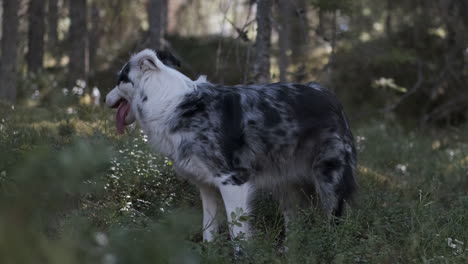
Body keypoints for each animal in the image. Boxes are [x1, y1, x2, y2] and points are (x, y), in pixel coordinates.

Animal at [105, 49, 354, 241]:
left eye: (119, 80)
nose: (106, 100)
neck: (169, 103)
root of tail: (328, 95)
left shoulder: (232, 182)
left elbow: (238, 238)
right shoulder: (206, 186)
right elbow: (208, 232)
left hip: (329, 180)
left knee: (335, 223)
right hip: (286, 184)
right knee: (295, 225)